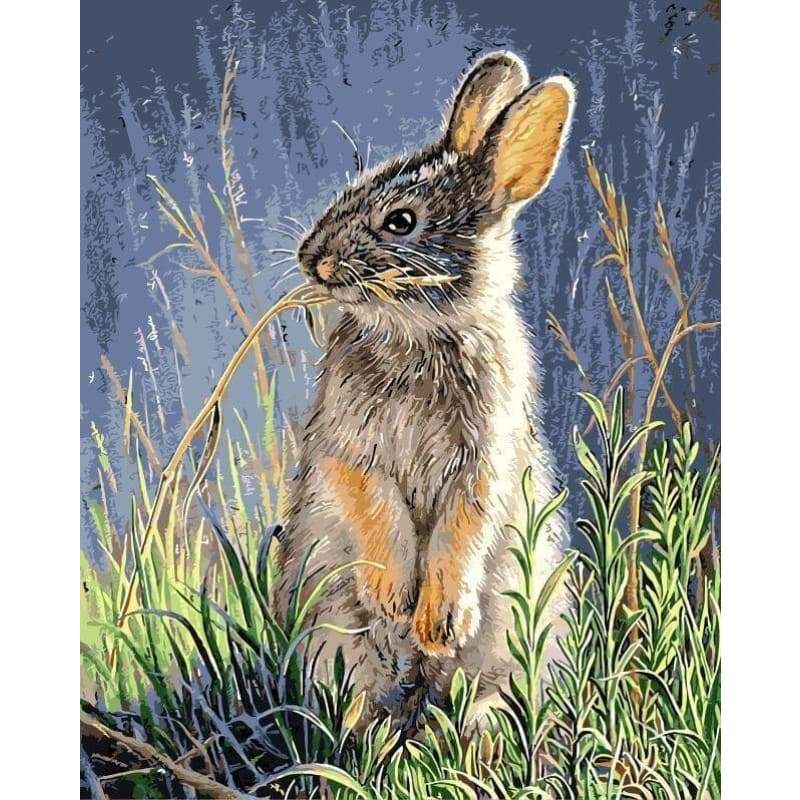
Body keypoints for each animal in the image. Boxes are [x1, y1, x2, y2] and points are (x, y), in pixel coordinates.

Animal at [274, 51, 576, 728]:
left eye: (402, 222)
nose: (311, 259)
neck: (419, 335)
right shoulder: (349, 445)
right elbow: (375, 506)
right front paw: (394, 598)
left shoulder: (484, 458)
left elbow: (462, 532)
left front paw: (437, 622)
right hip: (332, 641)